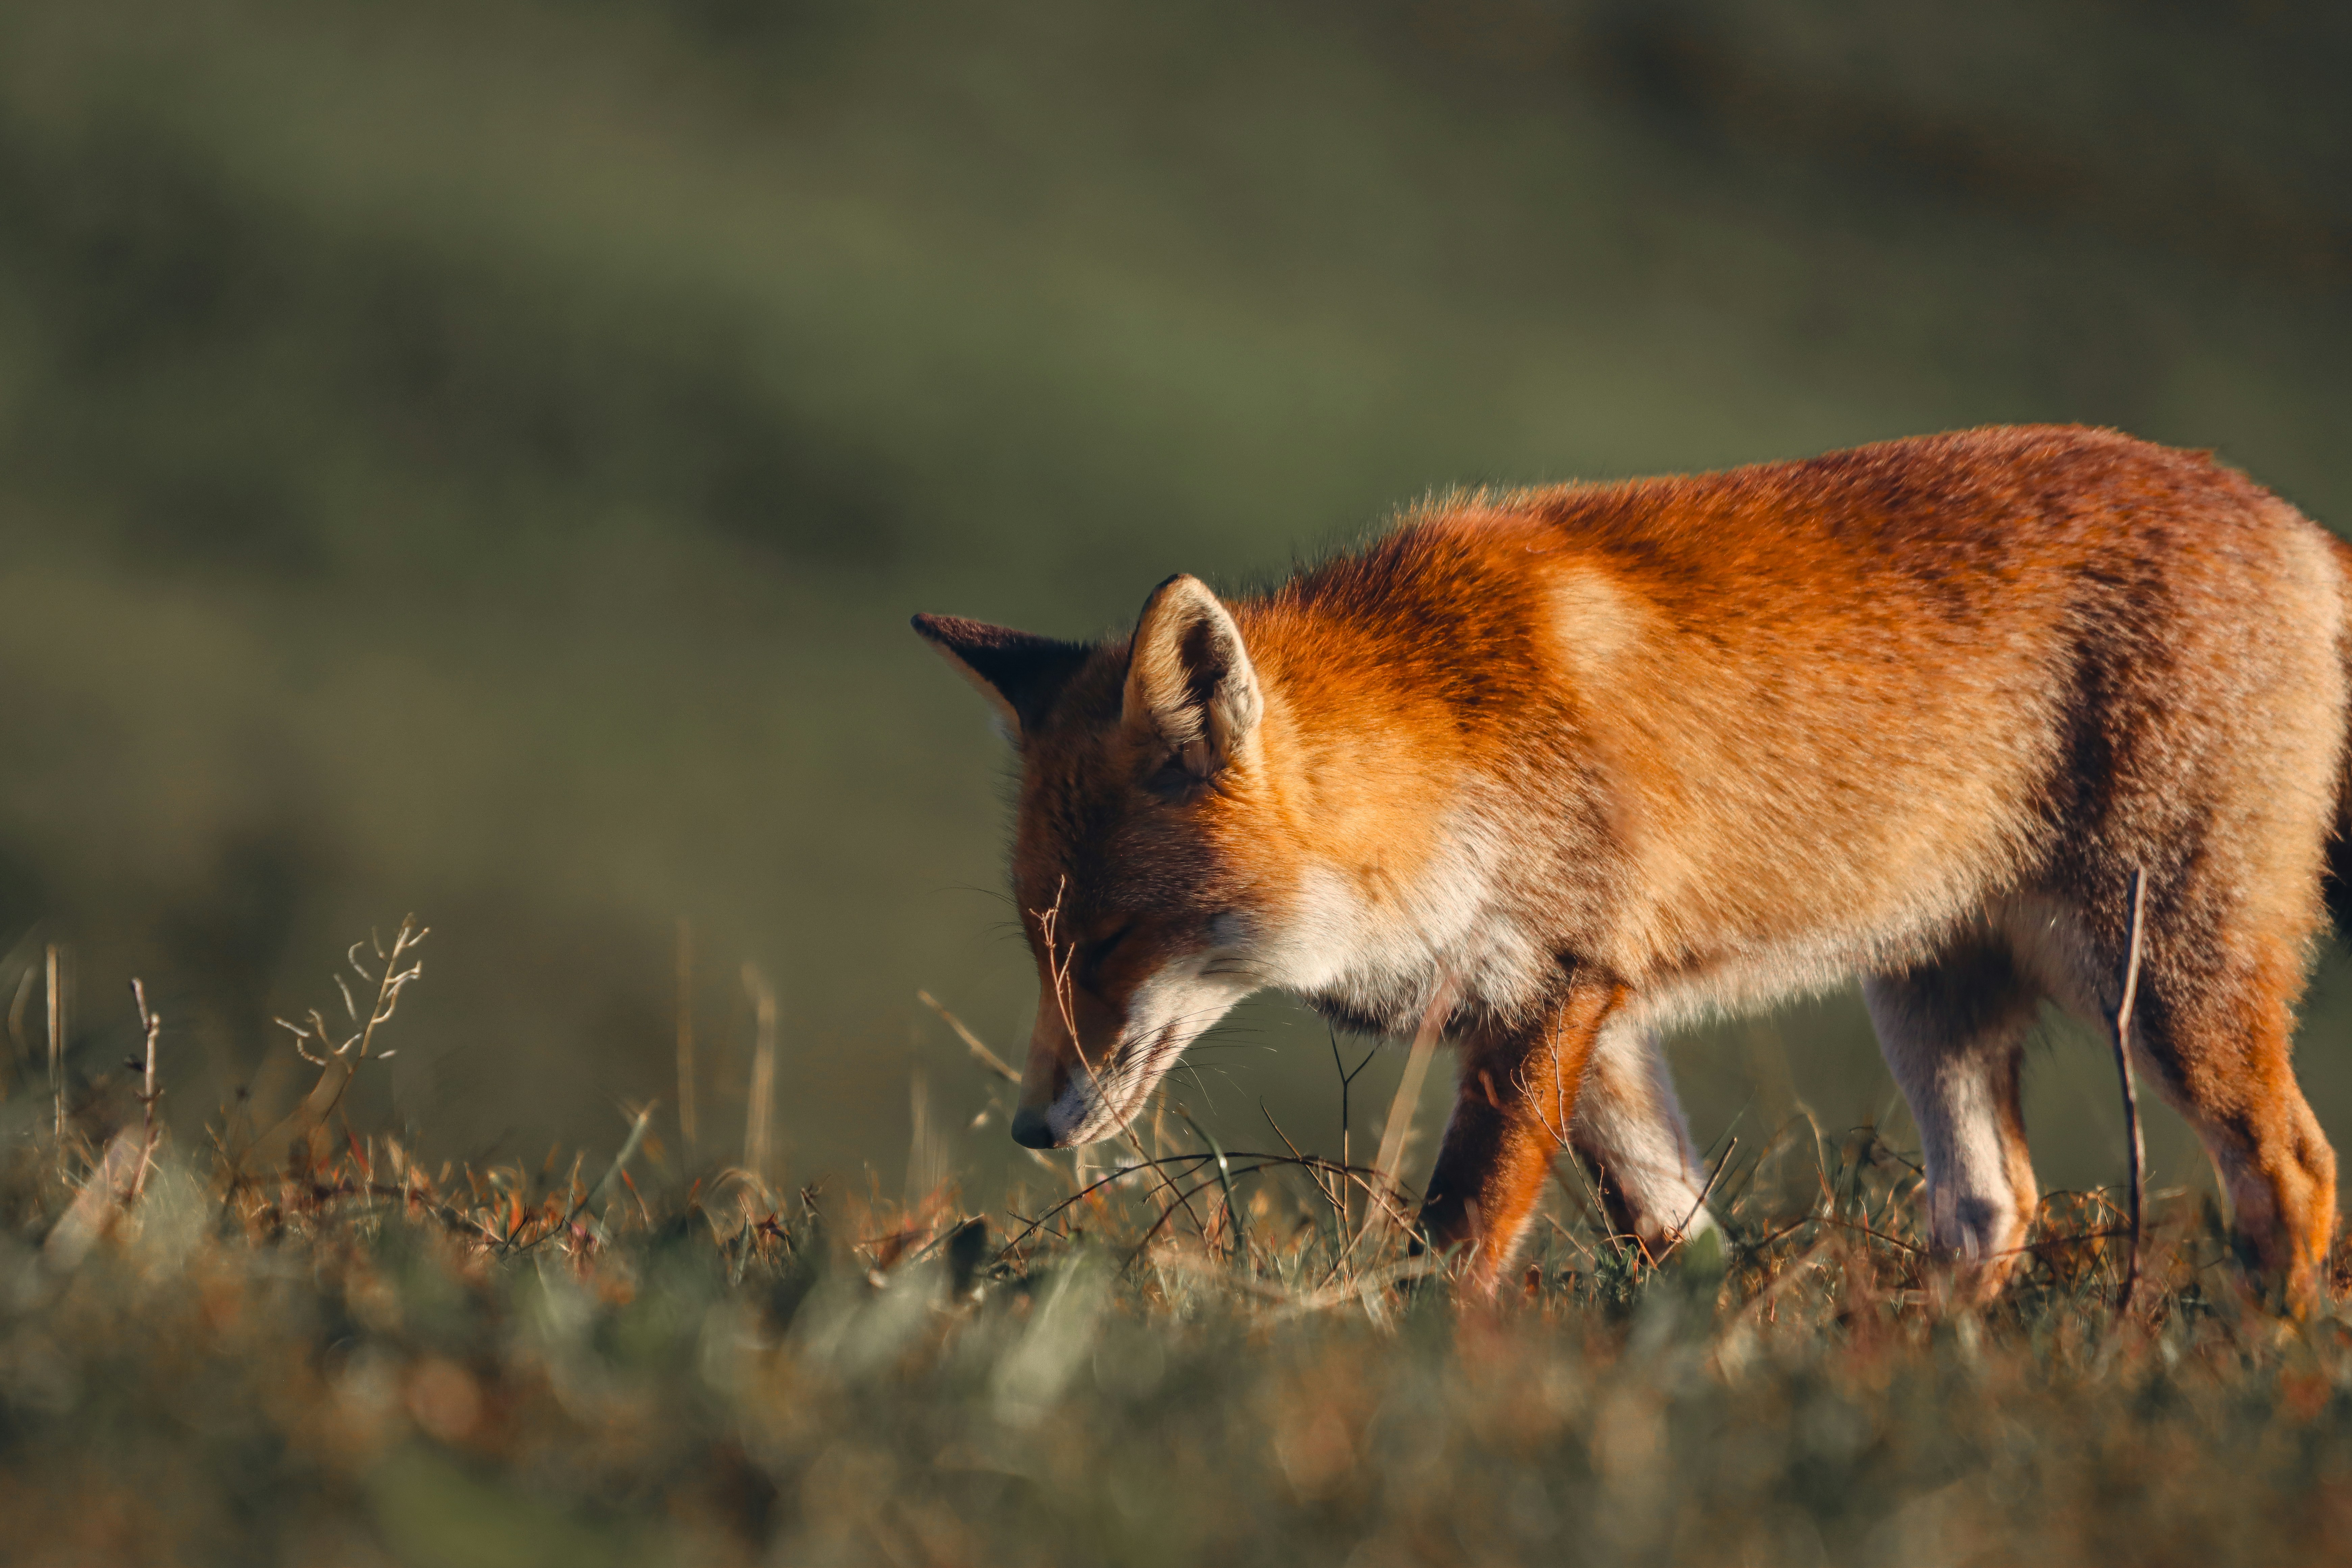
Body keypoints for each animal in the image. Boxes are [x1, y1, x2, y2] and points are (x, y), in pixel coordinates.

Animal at [914, 425, 2350, 1307]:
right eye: (1040, 941)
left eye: (1108, 938)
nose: (1032, 1128)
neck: (1450, 750)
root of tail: (2295, 524)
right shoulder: (1585, 1016)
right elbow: (1678, 1244)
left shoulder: (1551, 987)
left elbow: (1459, 1235)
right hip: (1928, 997)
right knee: (1996, 1204)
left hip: (2163, 978)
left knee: (2290, 1175)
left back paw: (2258, 1380)